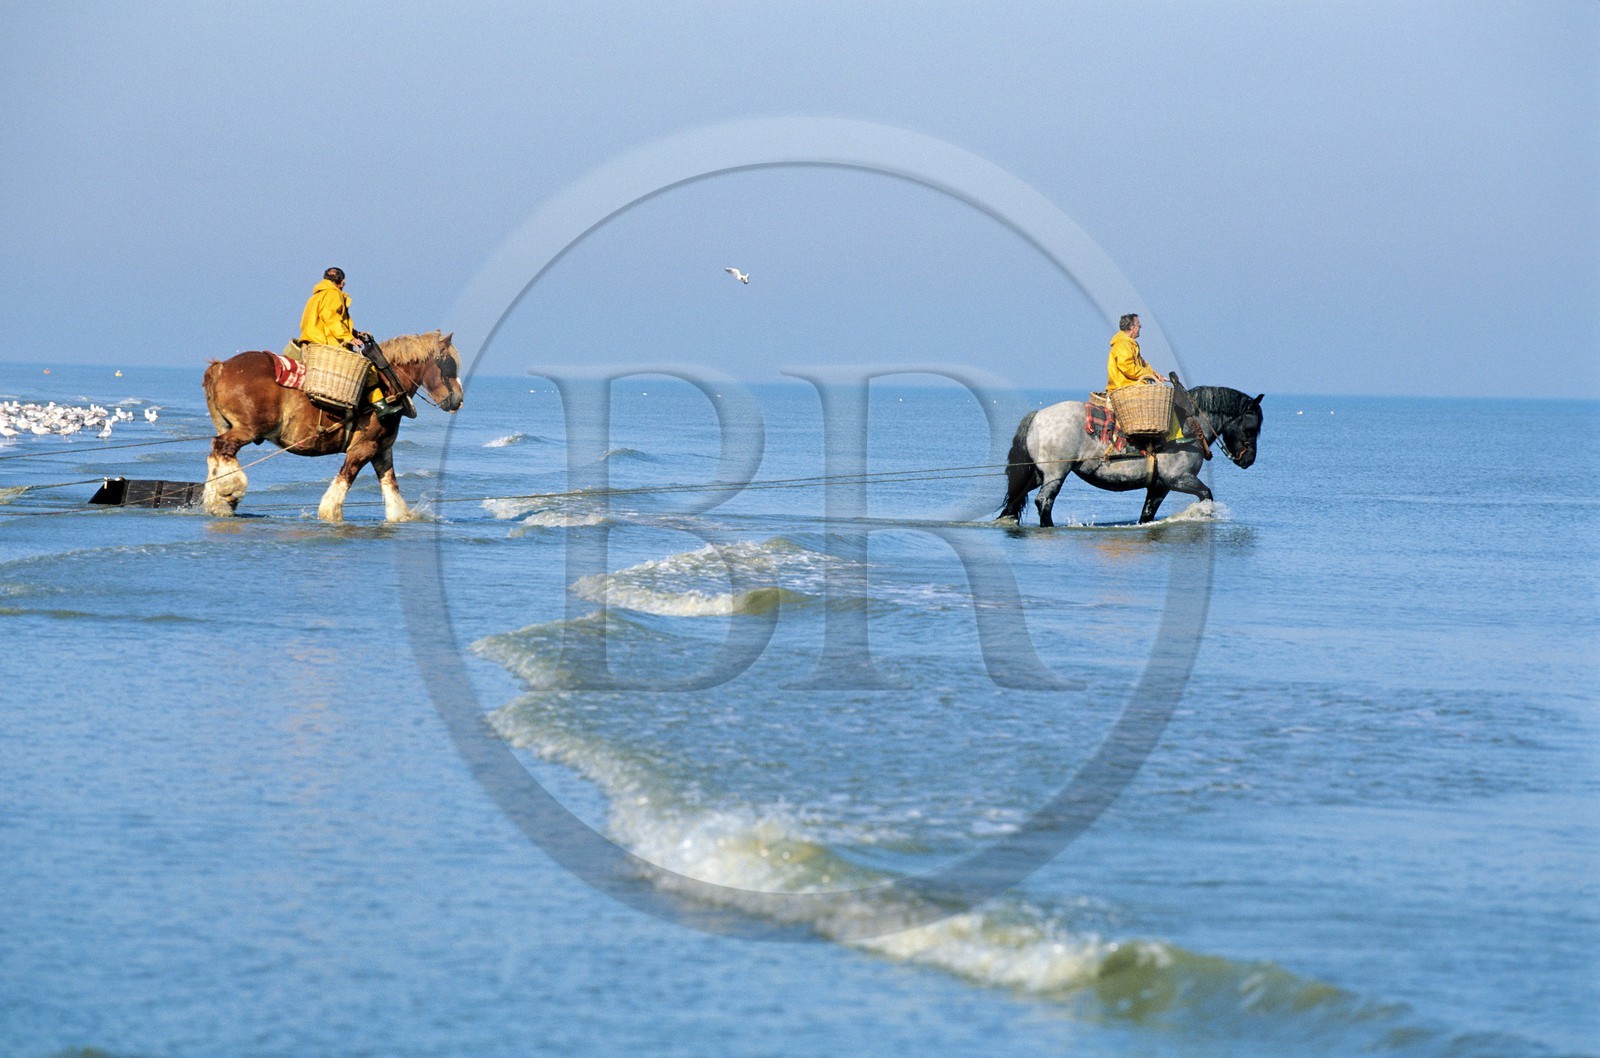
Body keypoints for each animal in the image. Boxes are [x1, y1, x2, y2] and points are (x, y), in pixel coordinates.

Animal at [201, 331, 464, 522]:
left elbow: (391, 485)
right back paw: (230, 490)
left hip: (230, 427)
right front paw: (330, 513)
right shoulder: (363, 448)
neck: (388, 385)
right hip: (247, 430)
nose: (458, 400)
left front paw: (400, 516)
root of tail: (221, 366)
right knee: (223, 448)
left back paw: (216, 499)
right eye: (450, 364)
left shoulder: (381, 449)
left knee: (216, 453)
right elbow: (345, 478)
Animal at [999, 386, 1263, 526]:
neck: (1188, 428)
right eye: (1251, 427)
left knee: (1015, 498)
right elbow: (1207, 495)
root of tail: (1037, 416)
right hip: (1055, 474)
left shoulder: (1159, 486)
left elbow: (1147, 514)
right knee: (1044, 501)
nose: (1248, 459)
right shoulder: (1178, 480)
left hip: (1037, 473)